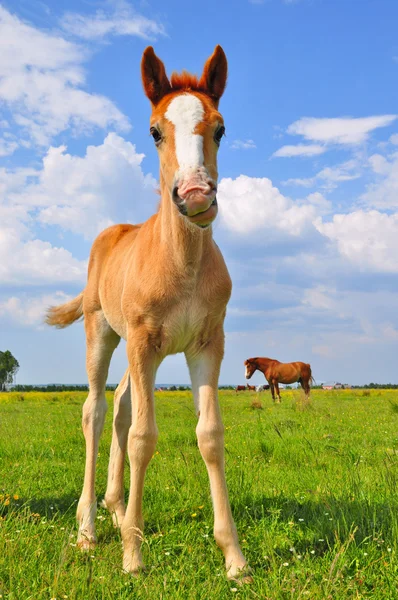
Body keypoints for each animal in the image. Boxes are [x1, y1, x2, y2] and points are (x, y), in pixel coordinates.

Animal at [45, 45, 247, 580]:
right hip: (104, 332)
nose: (195, 195)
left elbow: (210, 435)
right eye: (155, 130)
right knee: (96, 411)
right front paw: (133, 556)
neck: (182, 264)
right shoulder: (141, 340)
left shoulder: (207, 344)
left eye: (220, 128)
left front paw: (234, 557)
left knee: (119, 403)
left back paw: (115, 511)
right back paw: (89, 530)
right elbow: (143, 436)